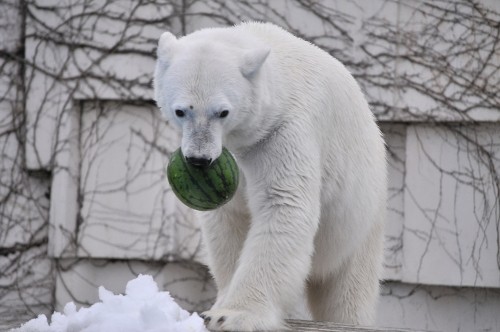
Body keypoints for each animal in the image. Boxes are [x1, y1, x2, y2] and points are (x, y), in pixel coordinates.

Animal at [154, 22, 388, 330]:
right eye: (180, 111)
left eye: (223, 112)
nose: (199, 159)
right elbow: (228, 219)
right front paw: (219, 304)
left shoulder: (281, 133)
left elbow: (283, 204)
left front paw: (235, 314)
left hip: (358, 222)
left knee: (347, 293)